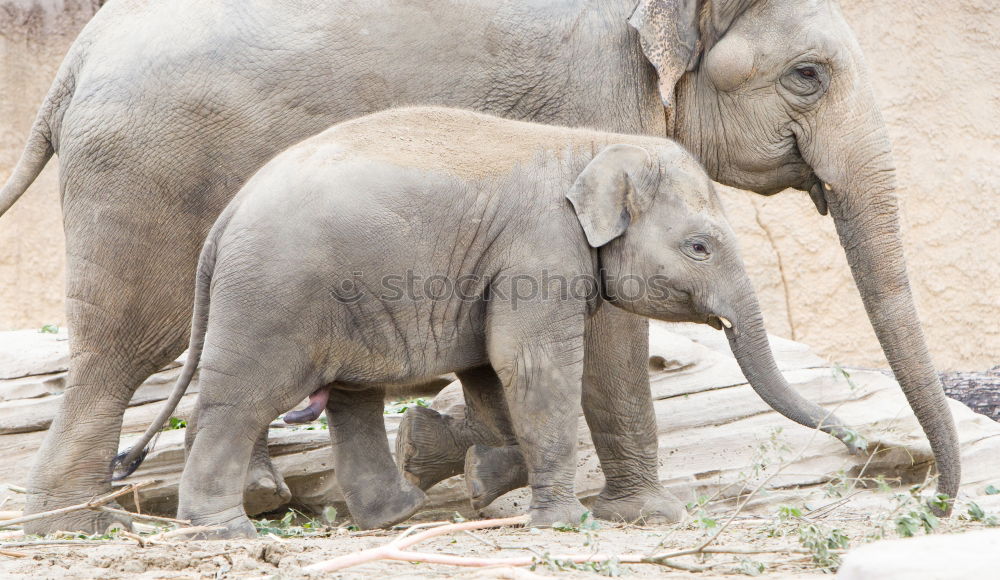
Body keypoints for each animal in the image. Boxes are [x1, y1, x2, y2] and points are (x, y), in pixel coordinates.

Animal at [117, 106, 852, 536]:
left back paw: (398, 512)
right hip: (274, 296)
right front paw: (565, 524)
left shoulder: (499, 268)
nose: (858, 442)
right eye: (700, 247)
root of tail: (225, 221)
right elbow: (529, 364)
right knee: (240, 401)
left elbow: (490, 372)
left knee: (351, 397)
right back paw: (223, 531)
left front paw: (480, 480)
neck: (590, 145)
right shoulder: (541, 249)